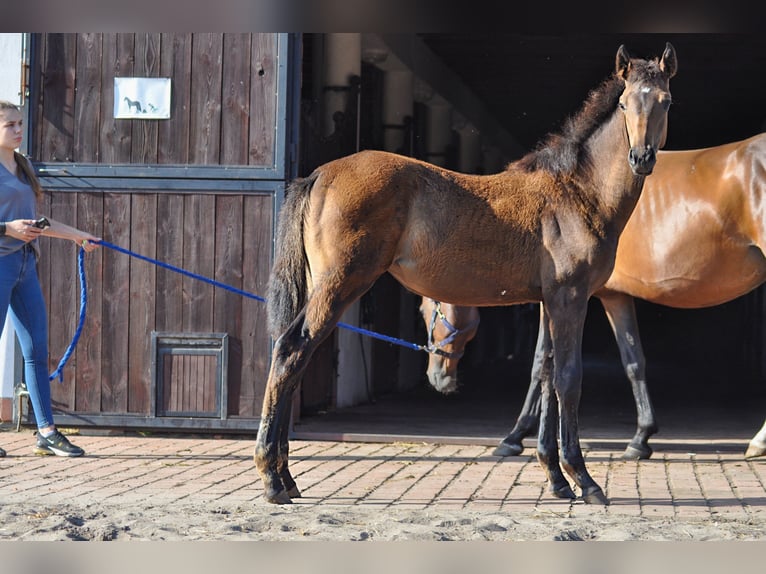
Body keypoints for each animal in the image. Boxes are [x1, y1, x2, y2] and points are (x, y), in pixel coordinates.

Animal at [260, 42, 680, 506]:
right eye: (624, 103)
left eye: (666, 101)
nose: (641, 158)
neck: (577, 192)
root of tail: (319, 174)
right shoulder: (571, 297)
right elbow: (569, 379)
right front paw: (584, 481)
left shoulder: (550, 301)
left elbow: (546, 375)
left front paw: (555, 478)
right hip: (340, 283)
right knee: (291, 350)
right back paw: (273, 479)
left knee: (293, 358)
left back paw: (286, 477)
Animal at [424, 132, 766, 464]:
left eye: (427, 310)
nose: (437, 378)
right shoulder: (614, 296)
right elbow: (633, 361)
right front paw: (641, 438)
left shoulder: (559, 298)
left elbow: (540, 363)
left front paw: (514, 436)